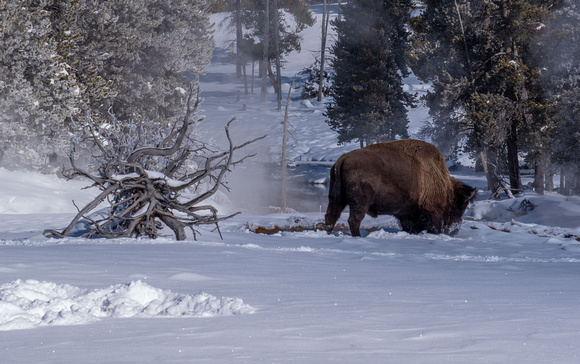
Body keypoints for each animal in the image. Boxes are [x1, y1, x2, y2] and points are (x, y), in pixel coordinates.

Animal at [324, 139, 474, 236]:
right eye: (460, 205)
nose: (454, 230)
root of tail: (342, 159)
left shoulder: (406, 213)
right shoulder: (432, 211)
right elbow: (434, 225)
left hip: (337, 198)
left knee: (331, 216)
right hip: (360, 202)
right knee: (353, 220)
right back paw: (357, 237)